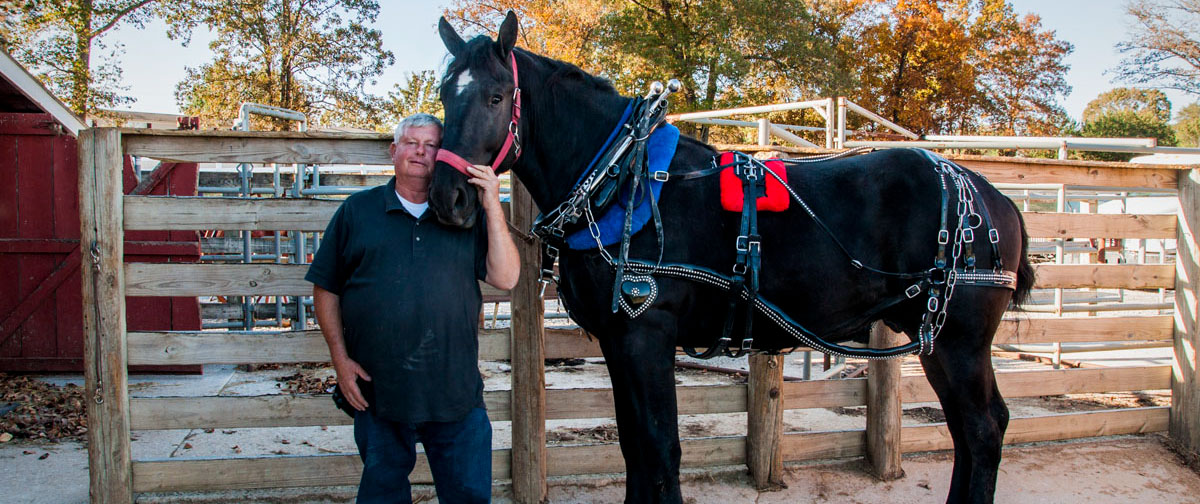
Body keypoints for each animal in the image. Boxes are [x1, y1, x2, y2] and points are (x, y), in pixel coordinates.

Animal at [429, 12, 1032, 504]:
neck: (620, 178)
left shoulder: (646, 333)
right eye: (443, 95)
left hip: (958, 341)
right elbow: (633, 450)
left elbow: (660, 450)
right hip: (939, 340)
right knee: (971, 430)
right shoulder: (618, 340)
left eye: (497, 97)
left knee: (982, 429)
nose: (446, 198)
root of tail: (991, 196)